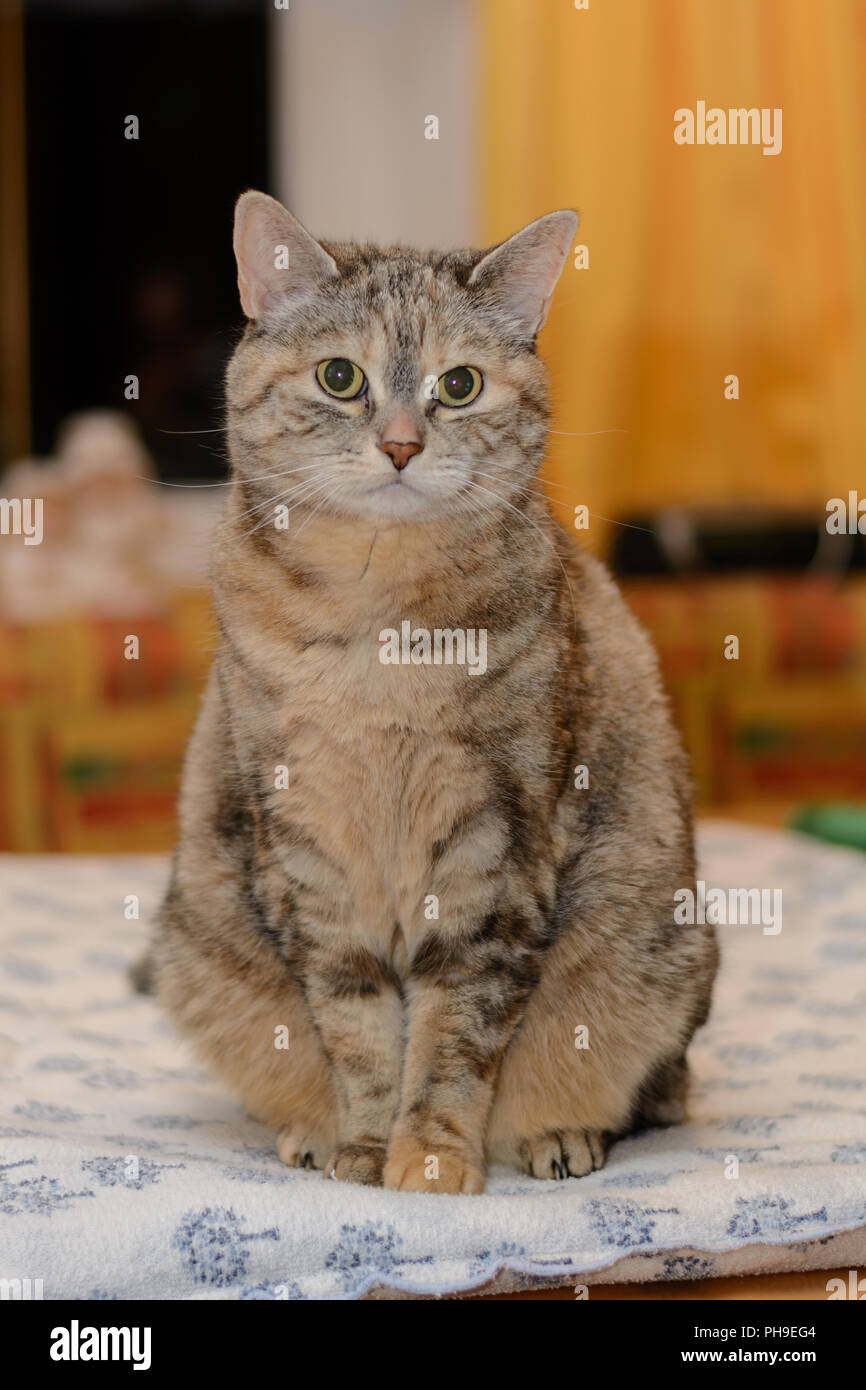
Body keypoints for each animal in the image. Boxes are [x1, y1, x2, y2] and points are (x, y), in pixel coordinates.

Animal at [140, 190, 717, 1195]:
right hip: (197, 949)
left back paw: (558, 1134)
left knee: (643, 1088)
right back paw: (312, 1132)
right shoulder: (308, 848)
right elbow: (359, 1025)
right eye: (340, 377)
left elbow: (454, 1029)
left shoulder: (498, 841)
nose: (403, 445)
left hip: (660, 960)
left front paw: (435, 1154)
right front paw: (369, 1146)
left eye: (461, 384)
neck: (380, 628)